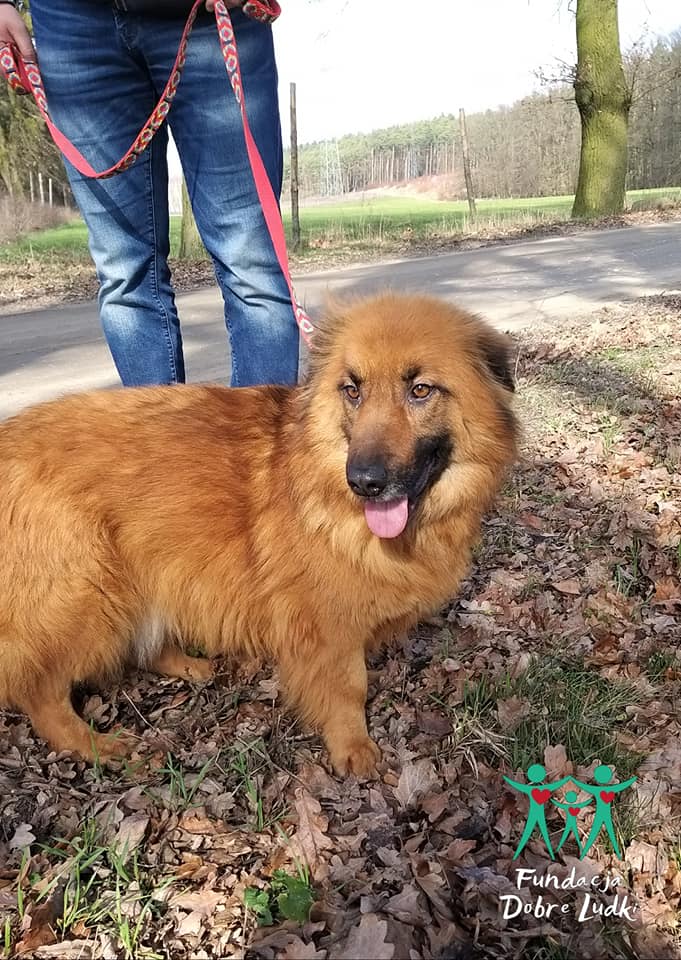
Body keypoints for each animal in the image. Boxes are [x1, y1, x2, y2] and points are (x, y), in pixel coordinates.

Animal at [0, 294, 517, 777]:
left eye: (421, 390)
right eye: (352, 390)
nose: (363, 482)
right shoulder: (325, 629)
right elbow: (349, 689)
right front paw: (352, 747)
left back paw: (187, 664)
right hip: (87, 597)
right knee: (38, 690)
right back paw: (92, 744)